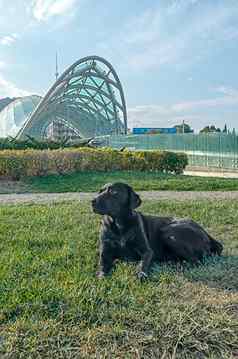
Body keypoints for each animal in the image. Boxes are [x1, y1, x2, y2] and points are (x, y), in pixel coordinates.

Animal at [91, 183, 223, 282]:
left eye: (113, 192)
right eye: (100, 191)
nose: (92, 201)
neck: (119, 225)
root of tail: (207, 234)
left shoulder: (147, 251)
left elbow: (142, 263)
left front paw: (141, 274)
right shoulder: (105, 253)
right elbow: (102, 266)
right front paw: (101, 277)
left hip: (168, 233)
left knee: (196, 261)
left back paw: (177, 266)